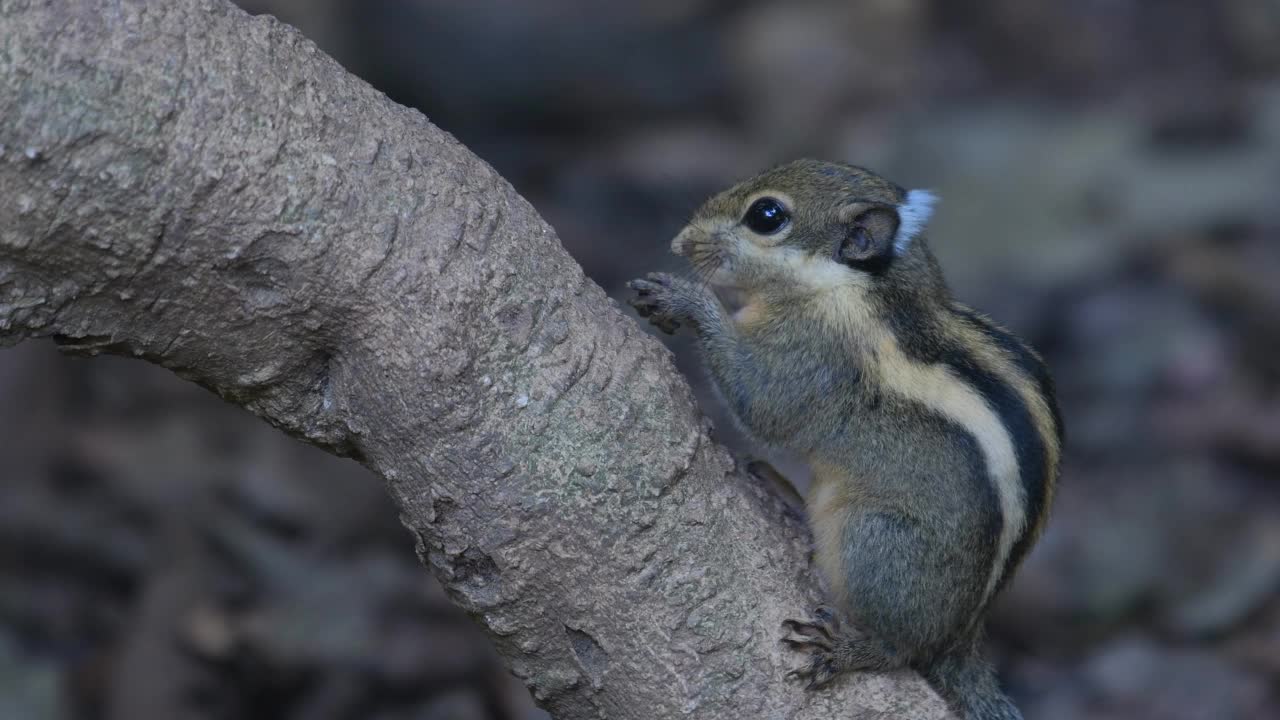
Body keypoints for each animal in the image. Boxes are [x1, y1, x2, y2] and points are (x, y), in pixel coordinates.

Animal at [627, 158, 1059, 717]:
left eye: (766, 215)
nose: (680, 243)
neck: (858, 287)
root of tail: (962, 636)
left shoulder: (813, 360)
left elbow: (762, 403)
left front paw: (688, 301)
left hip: (878, 543)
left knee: (902, 648)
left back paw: (852, 650)